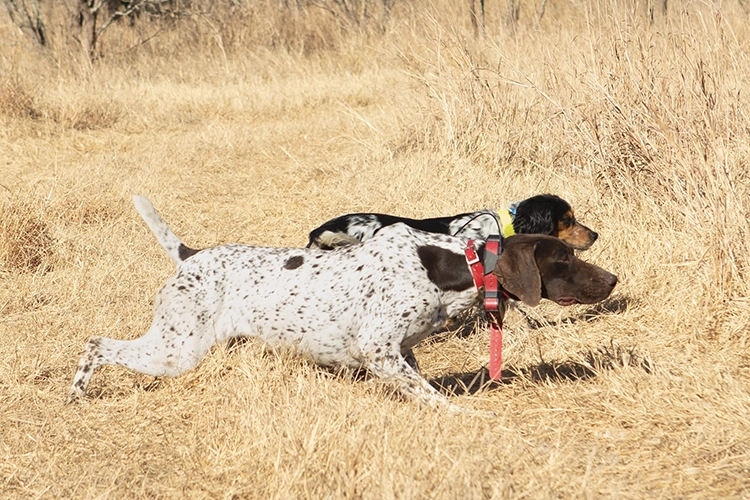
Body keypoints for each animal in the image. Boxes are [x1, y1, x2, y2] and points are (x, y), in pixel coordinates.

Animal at [67, 196, 617, 413]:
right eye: (564, 256)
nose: (613, 278)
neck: (453, 265)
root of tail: (191, 255)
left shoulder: (398, 353)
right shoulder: (378, 350)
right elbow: (436, 399)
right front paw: (465, 416)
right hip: (175, 349)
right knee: (96, 344)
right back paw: (76, 394)